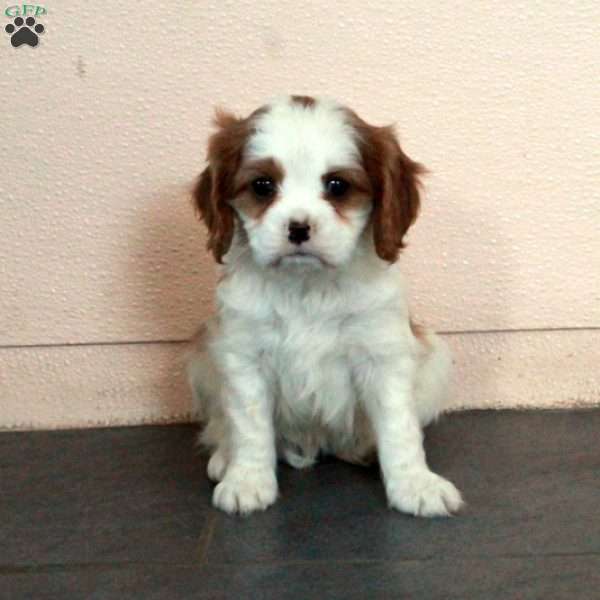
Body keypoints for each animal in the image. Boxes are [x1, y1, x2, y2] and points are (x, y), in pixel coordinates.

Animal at [188, 96, 464, 516]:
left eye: (337, 186)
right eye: (263, 186)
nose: (299, 227)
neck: (307, 285)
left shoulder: (383, 354)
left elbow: (399, 426)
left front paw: (415, 484)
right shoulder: (243, 355)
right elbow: (249, 425)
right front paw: (247, 479)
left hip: (434, 358)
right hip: (204, 361)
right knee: (222, 423)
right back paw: (225, 457)